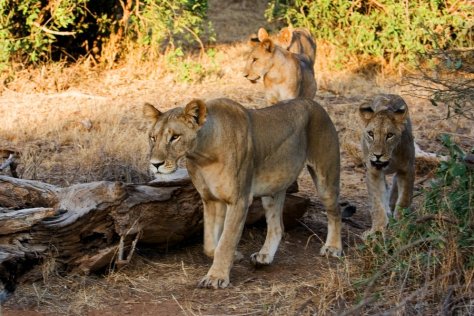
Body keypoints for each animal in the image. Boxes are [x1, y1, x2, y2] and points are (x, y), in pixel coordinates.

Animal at [143, 98, 342, 288]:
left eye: (175, 137)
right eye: (152, 138)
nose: (155, 164)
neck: (202, 156)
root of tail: (315, 104)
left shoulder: (239, 200)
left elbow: (226, 241)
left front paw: (216, 277)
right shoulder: (211, 200)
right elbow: (210, 244)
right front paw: (234, 257)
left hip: (325, 178)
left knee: (335, 212)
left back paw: (333, 248)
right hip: (272, 189)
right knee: (277, 226)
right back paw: (264, 257)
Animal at [360, 92, 414, 236]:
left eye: (389, 135)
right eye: (371, 134)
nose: (377, 155)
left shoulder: (407, 170)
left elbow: (404, 199)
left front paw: (401, 224)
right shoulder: (373, 171)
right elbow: (377, 203)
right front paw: (378, 229)